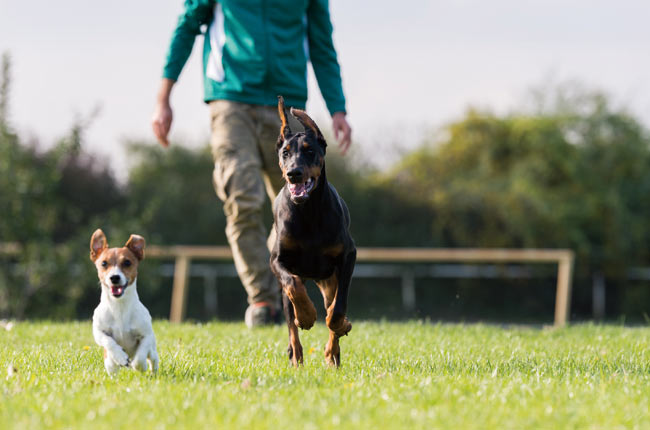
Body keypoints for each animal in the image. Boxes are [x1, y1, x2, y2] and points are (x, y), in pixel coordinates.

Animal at [88, 230, 158, 374]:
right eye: (104, 263)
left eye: (127, 262)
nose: (114, 277)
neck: (119, 306)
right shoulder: (98, 332)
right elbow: (108, 341)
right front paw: (120, 356)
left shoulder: (146, 335)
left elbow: (141, 355)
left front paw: (139, 365)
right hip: (109, 362)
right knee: (111, 366)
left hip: (153, 350)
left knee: (153, 359)